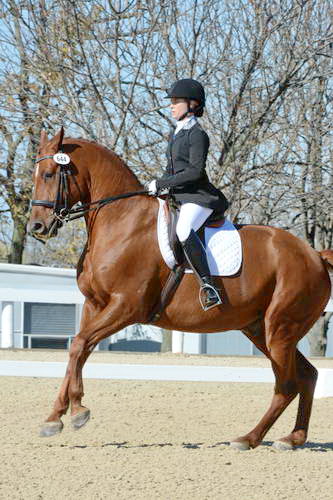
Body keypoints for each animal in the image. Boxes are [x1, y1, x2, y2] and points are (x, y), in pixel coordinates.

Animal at [29, 128, 332, 450]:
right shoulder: (93, 305)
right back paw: (292, 437)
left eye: (49, 174)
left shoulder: (126, 306)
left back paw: (251, 438)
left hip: (280, 330)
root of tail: (315, 255)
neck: (121, 220)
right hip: (260, 330)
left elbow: (78, 345)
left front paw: (78, 412)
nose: (37, 227)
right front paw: (55, 417)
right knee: (308, 375)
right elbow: (78, 349)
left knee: (286, 385)